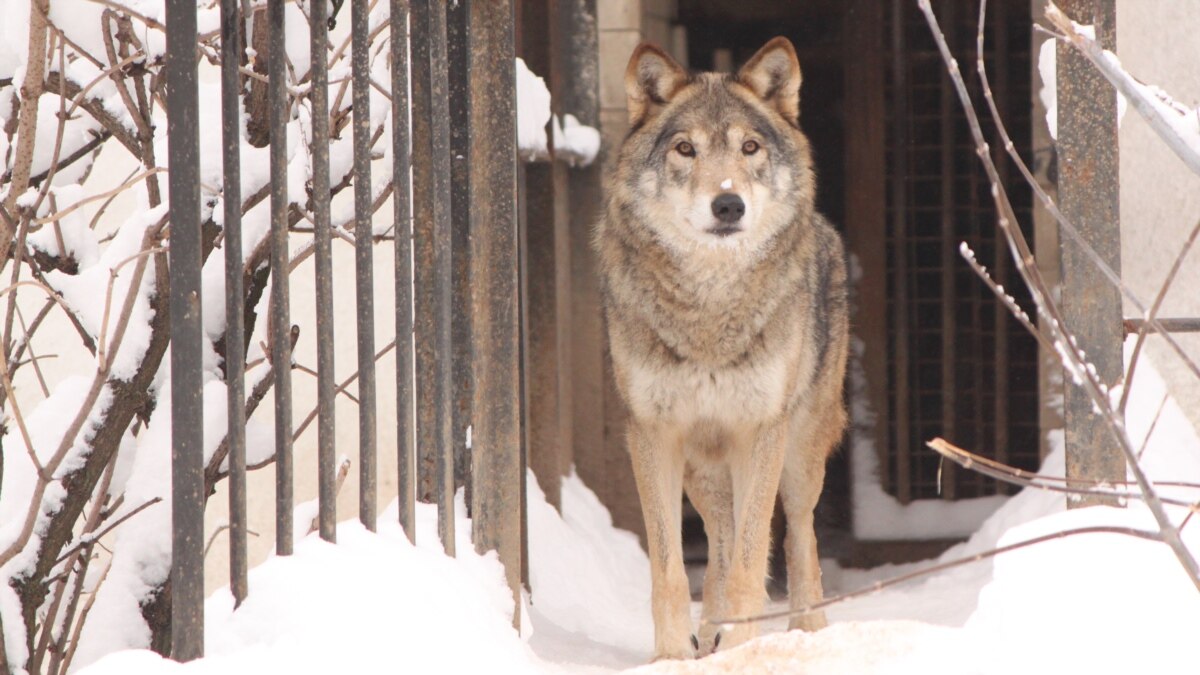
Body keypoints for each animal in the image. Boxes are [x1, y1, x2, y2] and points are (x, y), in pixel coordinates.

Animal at [595, 38, 849, 658]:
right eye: (685, 149)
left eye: (749, 147)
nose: (728, 205)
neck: (709, 309)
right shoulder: (653, 434)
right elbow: (670, 568)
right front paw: (672, 656)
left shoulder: (760, 431)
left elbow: (754, 560)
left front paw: (743, 650)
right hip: (704, 469)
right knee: (719, 540)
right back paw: (710, 632)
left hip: (799, 453)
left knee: (798, 536)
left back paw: (807, 631)